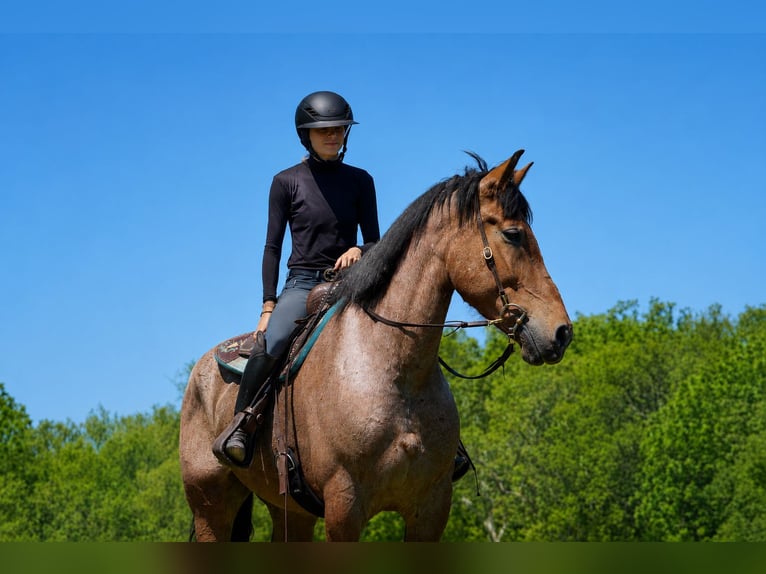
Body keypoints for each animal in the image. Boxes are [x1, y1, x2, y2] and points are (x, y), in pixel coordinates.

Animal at [179, 149, 572, 541]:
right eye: (513, 234)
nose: (562, 332)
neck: (393, 369)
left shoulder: (431, 508)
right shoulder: (344, 507)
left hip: (290, 511)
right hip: (210, 505)